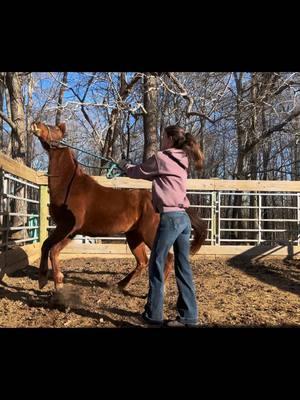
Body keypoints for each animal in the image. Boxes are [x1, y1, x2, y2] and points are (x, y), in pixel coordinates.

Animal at [31, 120, 207, 292]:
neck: (70, 186)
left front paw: (58, 282)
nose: (36, 123)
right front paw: (42, 280)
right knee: (142, 262)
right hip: (134, 236)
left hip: (150, 234)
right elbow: (45, 245)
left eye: (54, 128)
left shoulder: (70, 227)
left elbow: (53, 250)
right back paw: (119, 285)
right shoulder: (64, 228)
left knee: (167, 258)